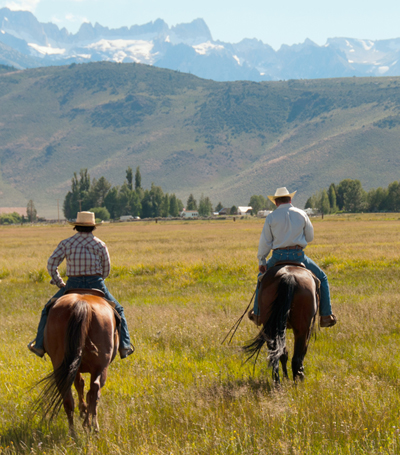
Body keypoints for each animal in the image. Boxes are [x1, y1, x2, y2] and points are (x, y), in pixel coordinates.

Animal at [33, 292, 119, 434]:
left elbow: (79, 384)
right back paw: (92, 426)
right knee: (94, 391)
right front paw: (84, 412)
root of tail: (82, 304)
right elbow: (82, 386)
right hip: (101, 366)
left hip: (62, 366)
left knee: (69, 399)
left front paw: (83, 410)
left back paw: (74, 433)